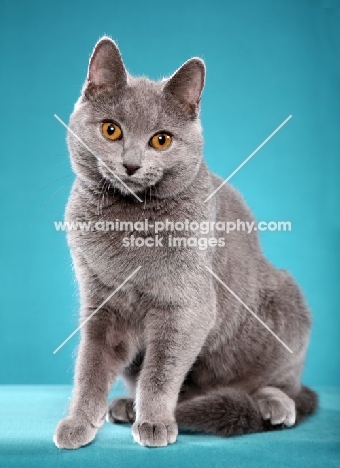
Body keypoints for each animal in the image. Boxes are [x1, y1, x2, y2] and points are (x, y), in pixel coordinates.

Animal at [53, 37, 316, 450]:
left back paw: (273, 404)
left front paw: (155, 422)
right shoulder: (103, 304)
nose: (131, 164)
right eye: (111, 130)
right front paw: (78, 423)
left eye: (161, 140)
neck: (129, 222)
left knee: (279, 382)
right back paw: (126, 405)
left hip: (286, 306)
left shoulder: (186, 307)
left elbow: (161, 370)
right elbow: (90, 368)